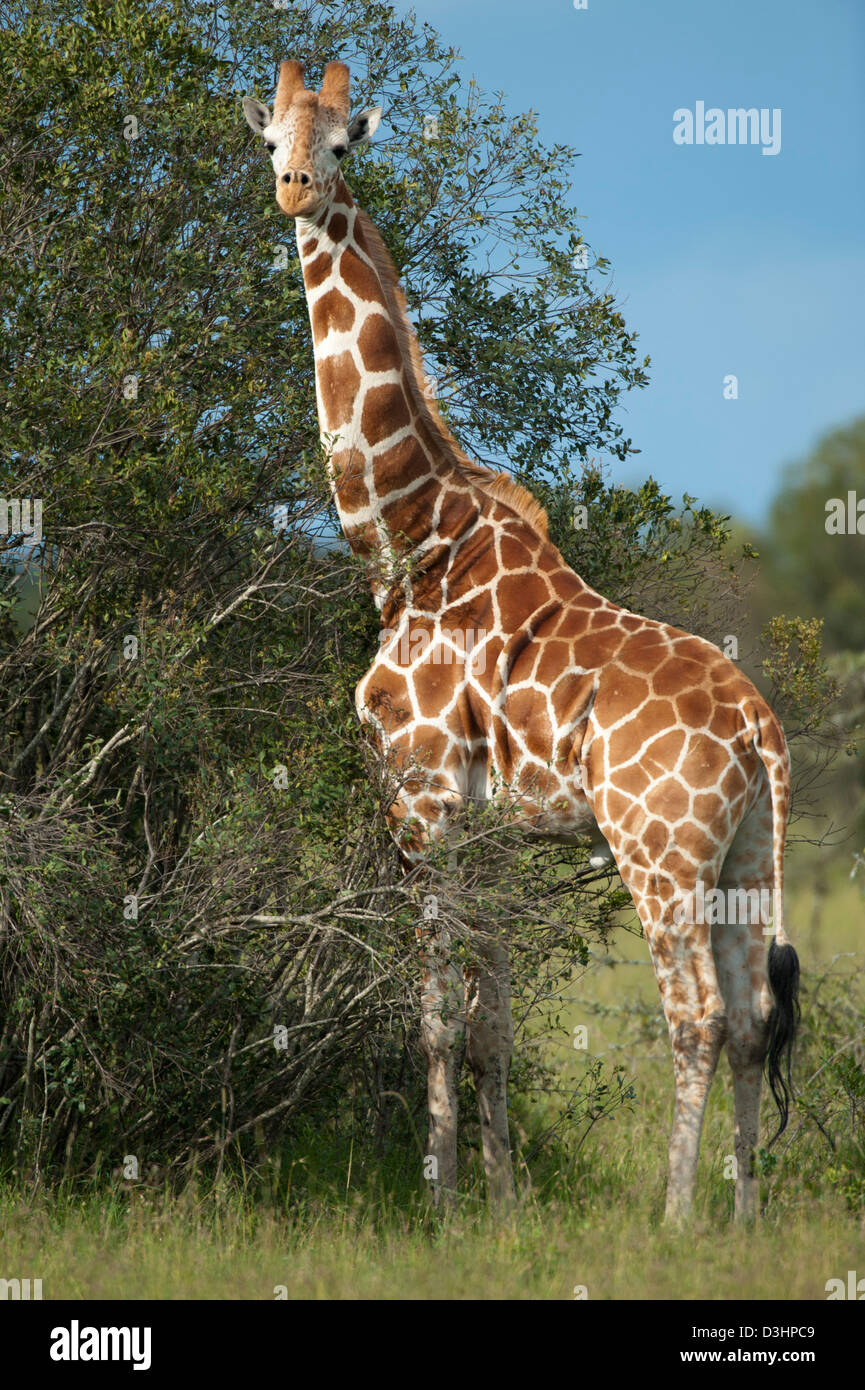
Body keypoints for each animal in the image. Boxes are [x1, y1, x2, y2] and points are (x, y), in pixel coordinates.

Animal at [241, 59, 801, 1223]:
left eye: (342, 146)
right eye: (270, 138)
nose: (294, 189)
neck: (404, 540)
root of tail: (761, 728)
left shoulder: (422, 803)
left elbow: (432, 1020)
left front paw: (440, 1201)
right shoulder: (491, 831)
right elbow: (491, 1023)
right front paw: (501, 1204)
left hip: (657, 851)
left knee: (695, 1015)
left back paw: (674, 1218)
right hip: (743, 854)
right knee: (748, 1021)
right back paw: (740, 1216)